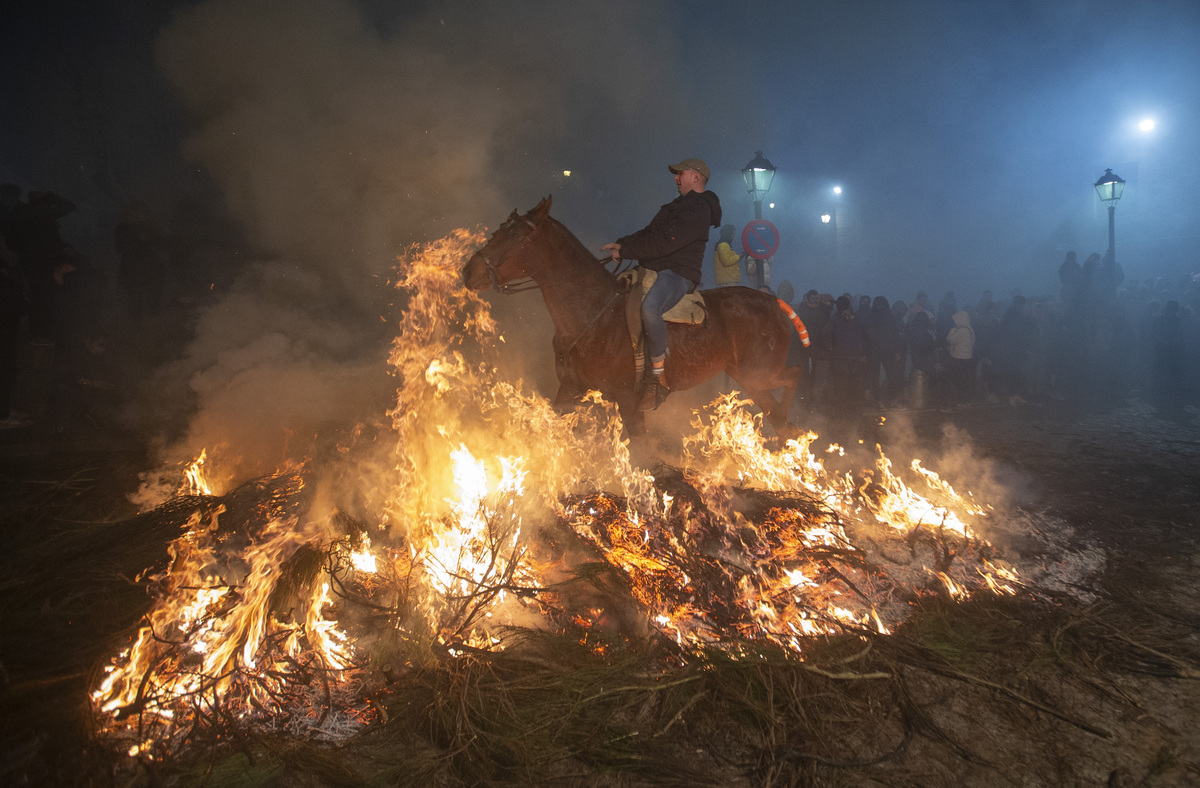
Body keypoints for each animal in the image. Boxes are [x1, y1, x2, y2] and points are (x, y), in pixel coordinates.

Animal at [463, 195, 801, 429]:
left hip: (758, 375)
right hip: (749, 377)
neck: (593, 316)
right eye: (501, 229)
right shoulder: (570, 389)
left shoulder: (629, 404)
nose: (469, 271)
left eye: (515, 235)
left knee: (792, 379)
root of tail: (773, 303)